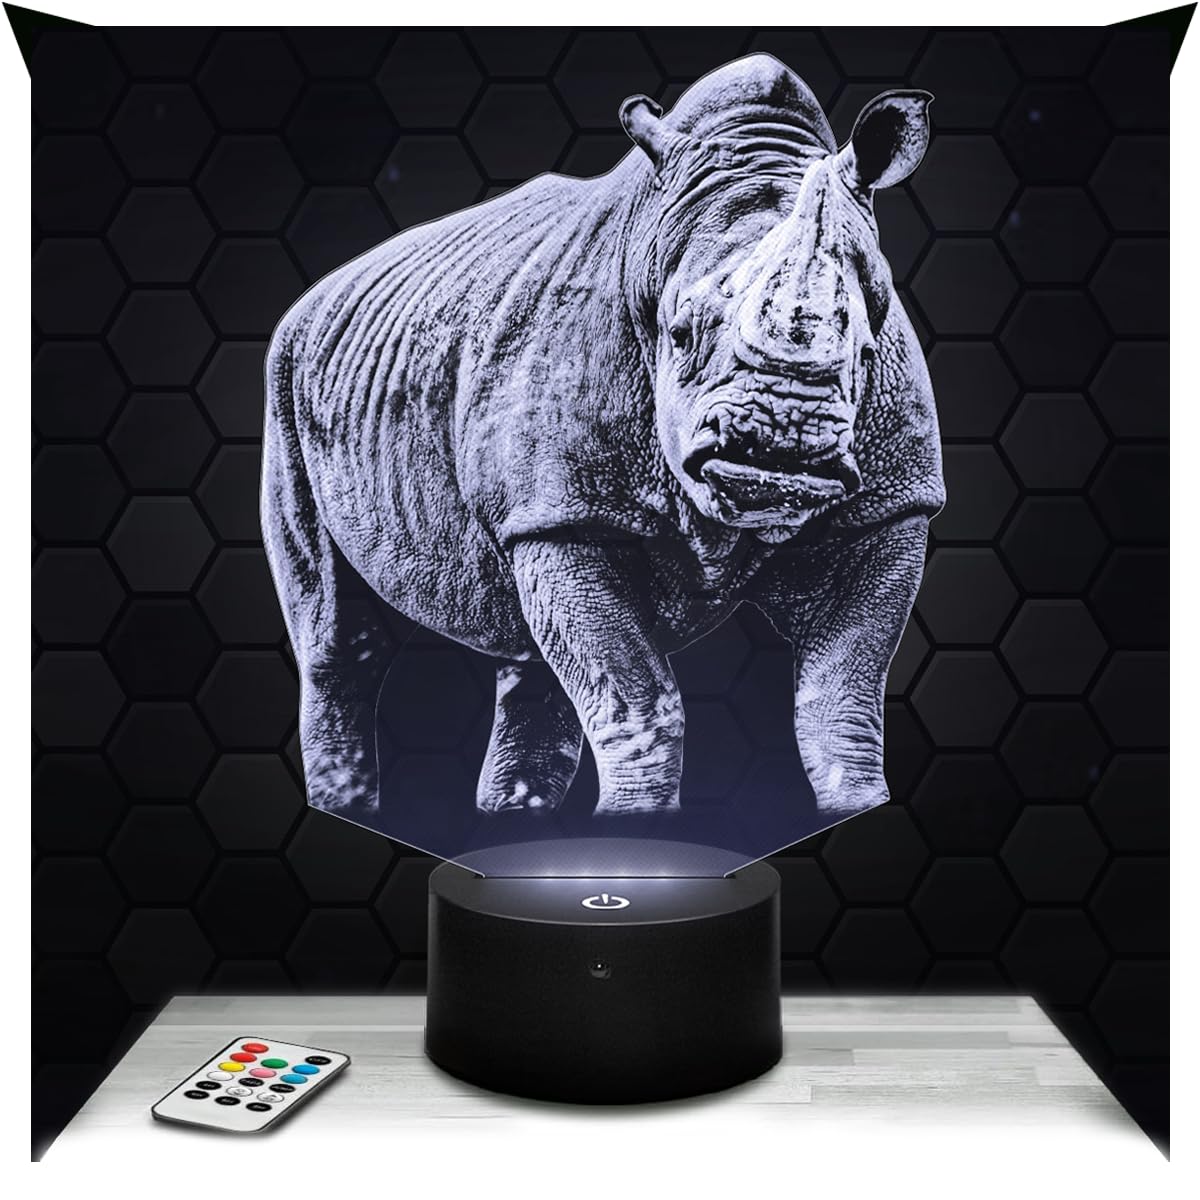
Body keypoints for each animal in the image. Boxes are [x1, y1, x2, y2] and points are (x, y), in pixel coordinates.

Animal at [261, 54, 944, 832]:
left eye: (864, 348)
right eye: (679, 334)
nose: (779, 442)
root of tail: (316, 296)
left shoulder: (890, 505)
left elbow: (840, 700)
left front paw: (856, 807)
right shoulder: (563, 511)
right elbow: (637, 698)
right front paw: (636, 825)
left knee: (528, 648)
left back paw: (509, 821)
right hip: (288, 382)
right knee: (338, 636)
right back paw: (350, 805)